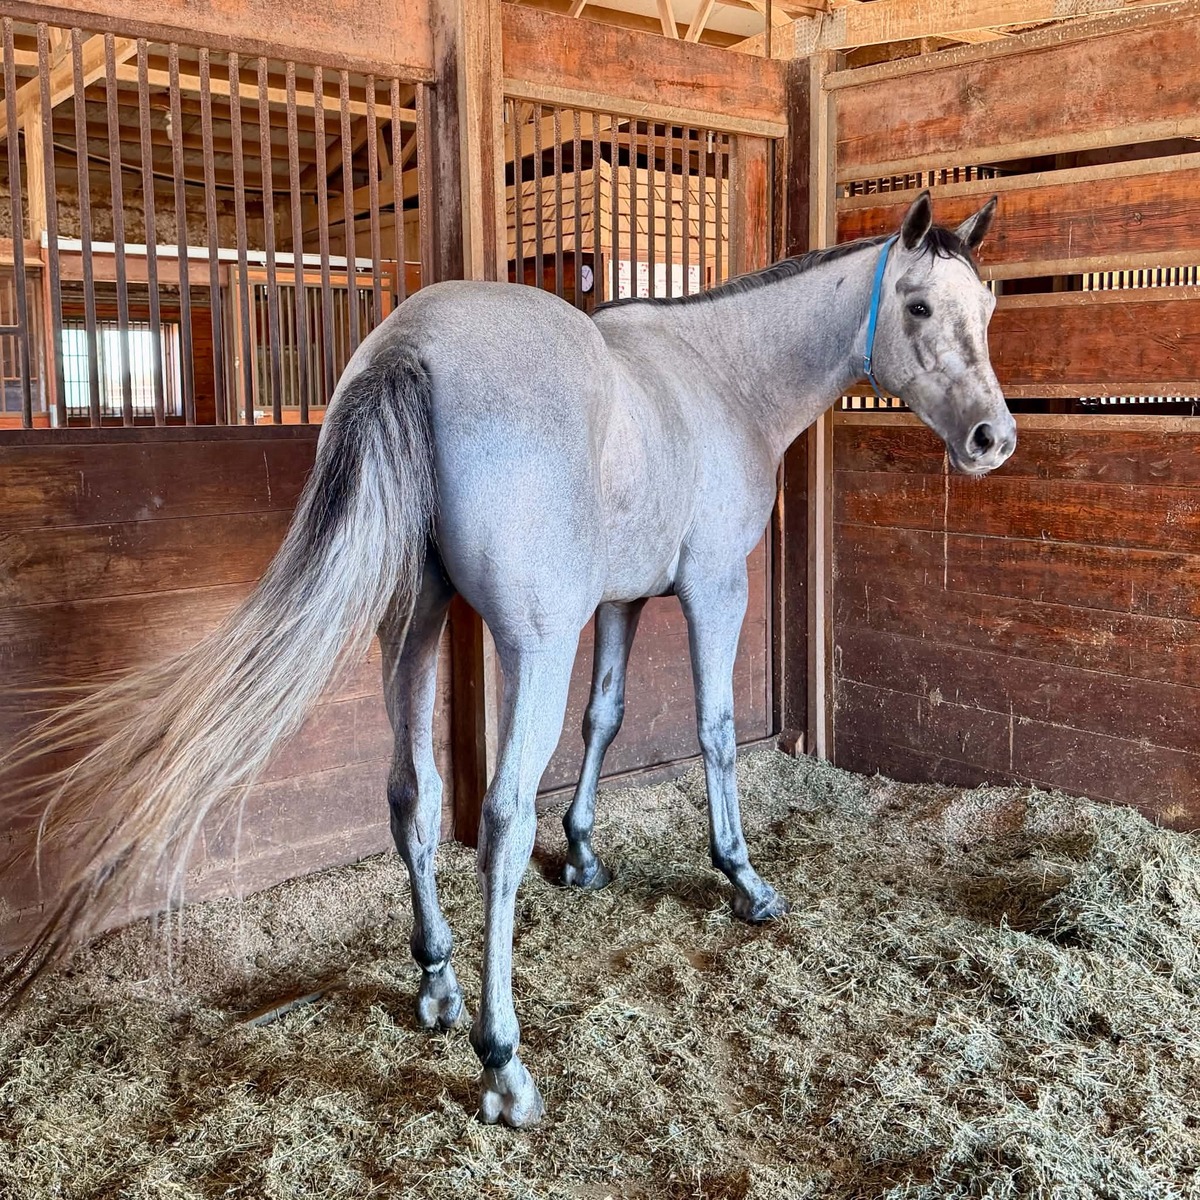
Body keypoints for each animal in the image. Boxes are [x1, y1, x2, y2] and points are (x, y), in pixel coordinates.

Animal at [2, 191, 1015, 1127]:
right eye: (920, 305)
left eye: (990, 304)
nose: (992, 439)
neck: (721, 376)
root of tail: (408, 347)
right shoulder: (711, 590)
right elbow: (716, 732)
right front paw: (742, 878)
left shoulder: (618, 602)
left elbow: (604, 718)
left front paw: (586, 855)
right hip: (533, 643)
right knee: (497, 823)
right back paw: (503, 1061)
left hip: (409, 633)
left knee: (412, 797)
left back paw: (439, 984)